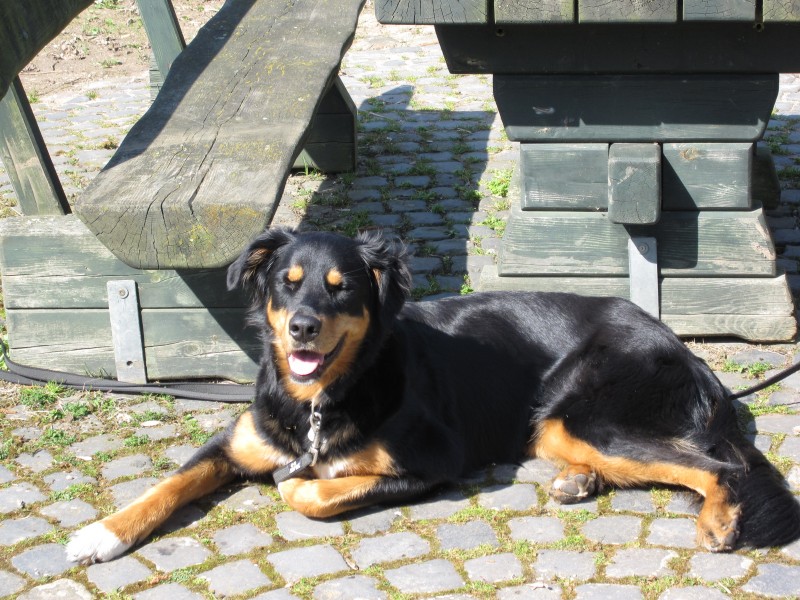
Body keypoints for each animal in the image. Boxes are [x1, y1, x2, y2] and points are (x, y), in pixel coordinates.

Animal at [67, 228, 800, 564]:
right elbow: (171, 484)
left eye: (341, 288)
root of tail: (681, 345)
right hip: (554, 426)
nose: (301, 327)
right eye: (285, 283)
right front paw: (104, 532)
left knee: (719, 465)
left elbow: (307, 490)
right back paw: (578, 482)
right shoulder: (235, 440)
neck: (323, 397)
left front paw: (305, 479)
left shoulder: (432, 463)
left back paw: (718, 521)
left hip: (588, 416)